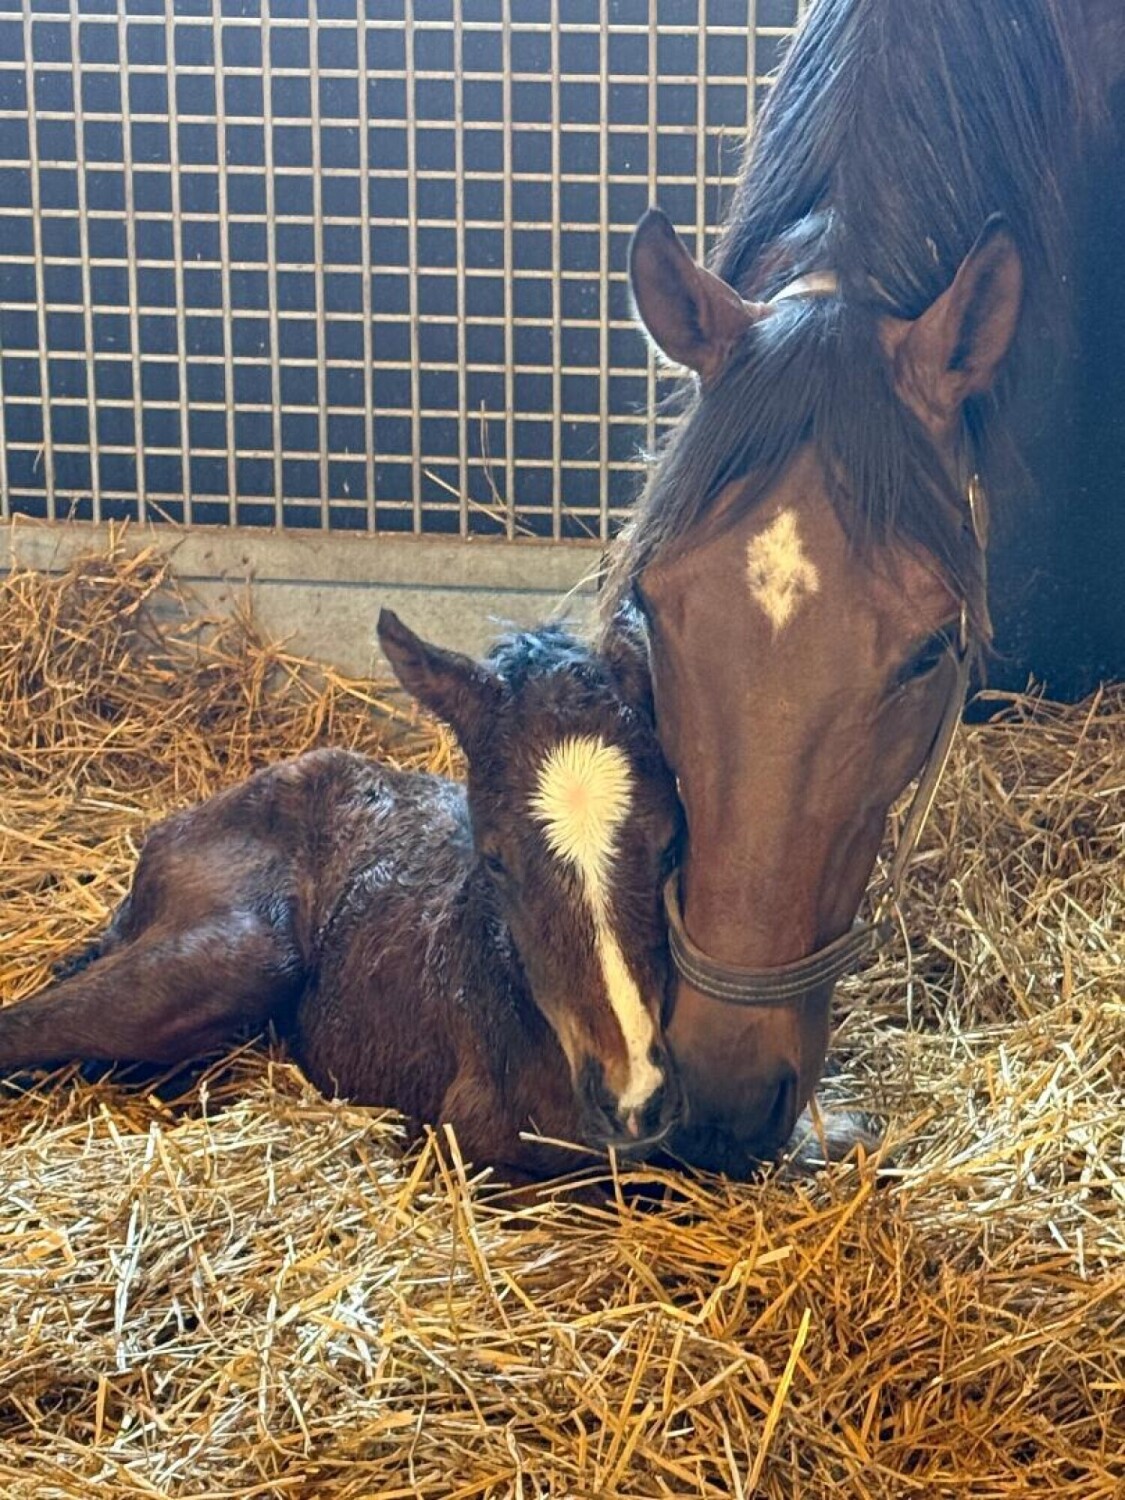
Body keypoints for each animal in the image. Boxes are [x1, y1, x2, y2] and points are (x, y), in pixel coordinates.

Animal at [0, 609, 683, 1183]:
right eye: (494, 858)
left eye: (671, 843)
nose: (631, 1097)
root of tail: (172, 829)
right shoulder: (465, 1149)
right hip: (235, 955)